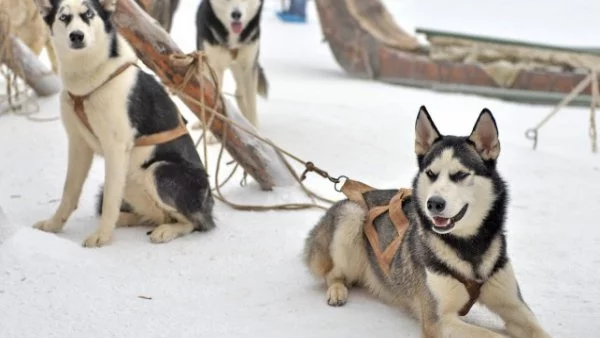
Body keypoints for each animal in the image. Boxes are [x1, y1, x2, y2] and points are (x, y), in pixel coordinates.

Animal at [31, 0, 216, 248]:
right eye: (63, 17)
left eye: (89, 14)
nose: (76, 36)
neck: (90, 79)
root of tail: (209, 203)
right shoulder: (79, 145)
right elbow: (69, 191)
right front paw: (53, 226)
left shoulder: (116, 148)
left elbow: (110, 200)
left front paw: (102, 236)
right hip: (129, 181)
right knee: (150, 214)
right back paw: (127, 219)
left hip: (159, 170)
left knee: (195, 222)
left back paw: (166, 230)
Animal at [196, 0, 268, 133]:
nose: (236, 14)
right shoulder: (215, 67)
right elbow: (213, 99)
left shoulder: (249, 67)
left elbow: (251, 103)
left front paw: (253, 130)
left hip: (240, 71)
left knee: (239, 92)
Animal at [302, 106, 552, 338]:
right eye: (431, 174)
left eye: (461, 175)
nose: (434, 203)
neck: (469, 246)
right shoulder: (438, 320)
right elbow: (492, 335)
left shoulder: (515, 306)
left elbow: (541, 331)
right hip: (351, 216)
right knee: (333, 274)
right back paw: (337, 290)